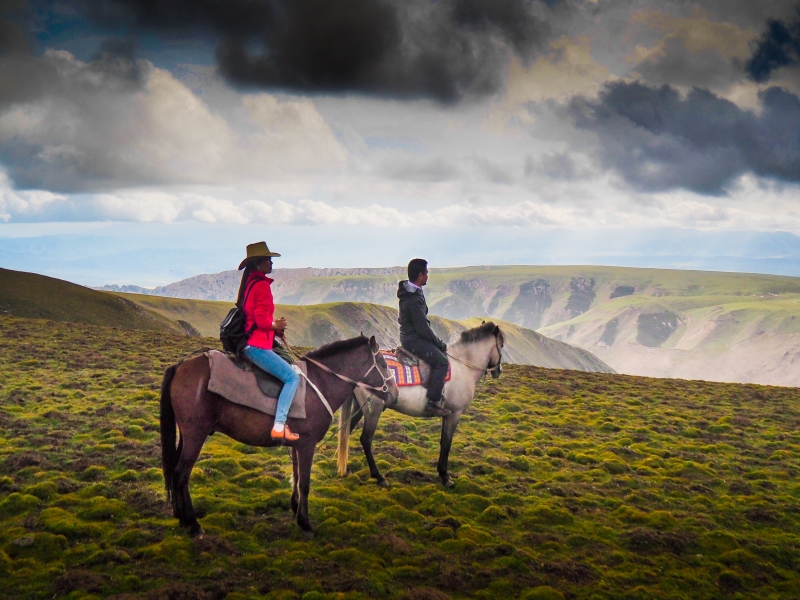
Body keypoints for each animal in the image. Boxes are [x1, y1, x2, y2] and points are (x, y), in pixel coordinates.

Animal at [159, 338, 396, 540]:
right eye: (384, 365)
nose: (394, 395)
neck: (320, 382)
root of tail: (179, 366)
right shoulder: (307, 444)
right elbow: (305, 483)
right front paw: (305, 523)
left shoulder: (297, 444)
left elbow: (296, 476)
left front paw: (295, 508)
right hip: (195, 434)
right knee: (181, 474)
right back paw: (192, 523)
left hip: (186, 435)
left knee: (175, 471)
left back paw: (181, 518)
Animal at [340, 324, 504, 488]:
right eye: (501, 345)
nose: (498, 371)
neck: (463, 365)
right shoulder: (454, 413)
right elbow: (447, 443)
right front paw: (445, 477)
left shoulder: (446, 414)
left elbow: (442, 441)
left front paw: (441, 472)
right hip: (374, 409)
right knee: (366, 439)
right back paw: (379, 477)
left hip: (359, 408)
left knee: (347, 432)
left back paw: (346, 469)